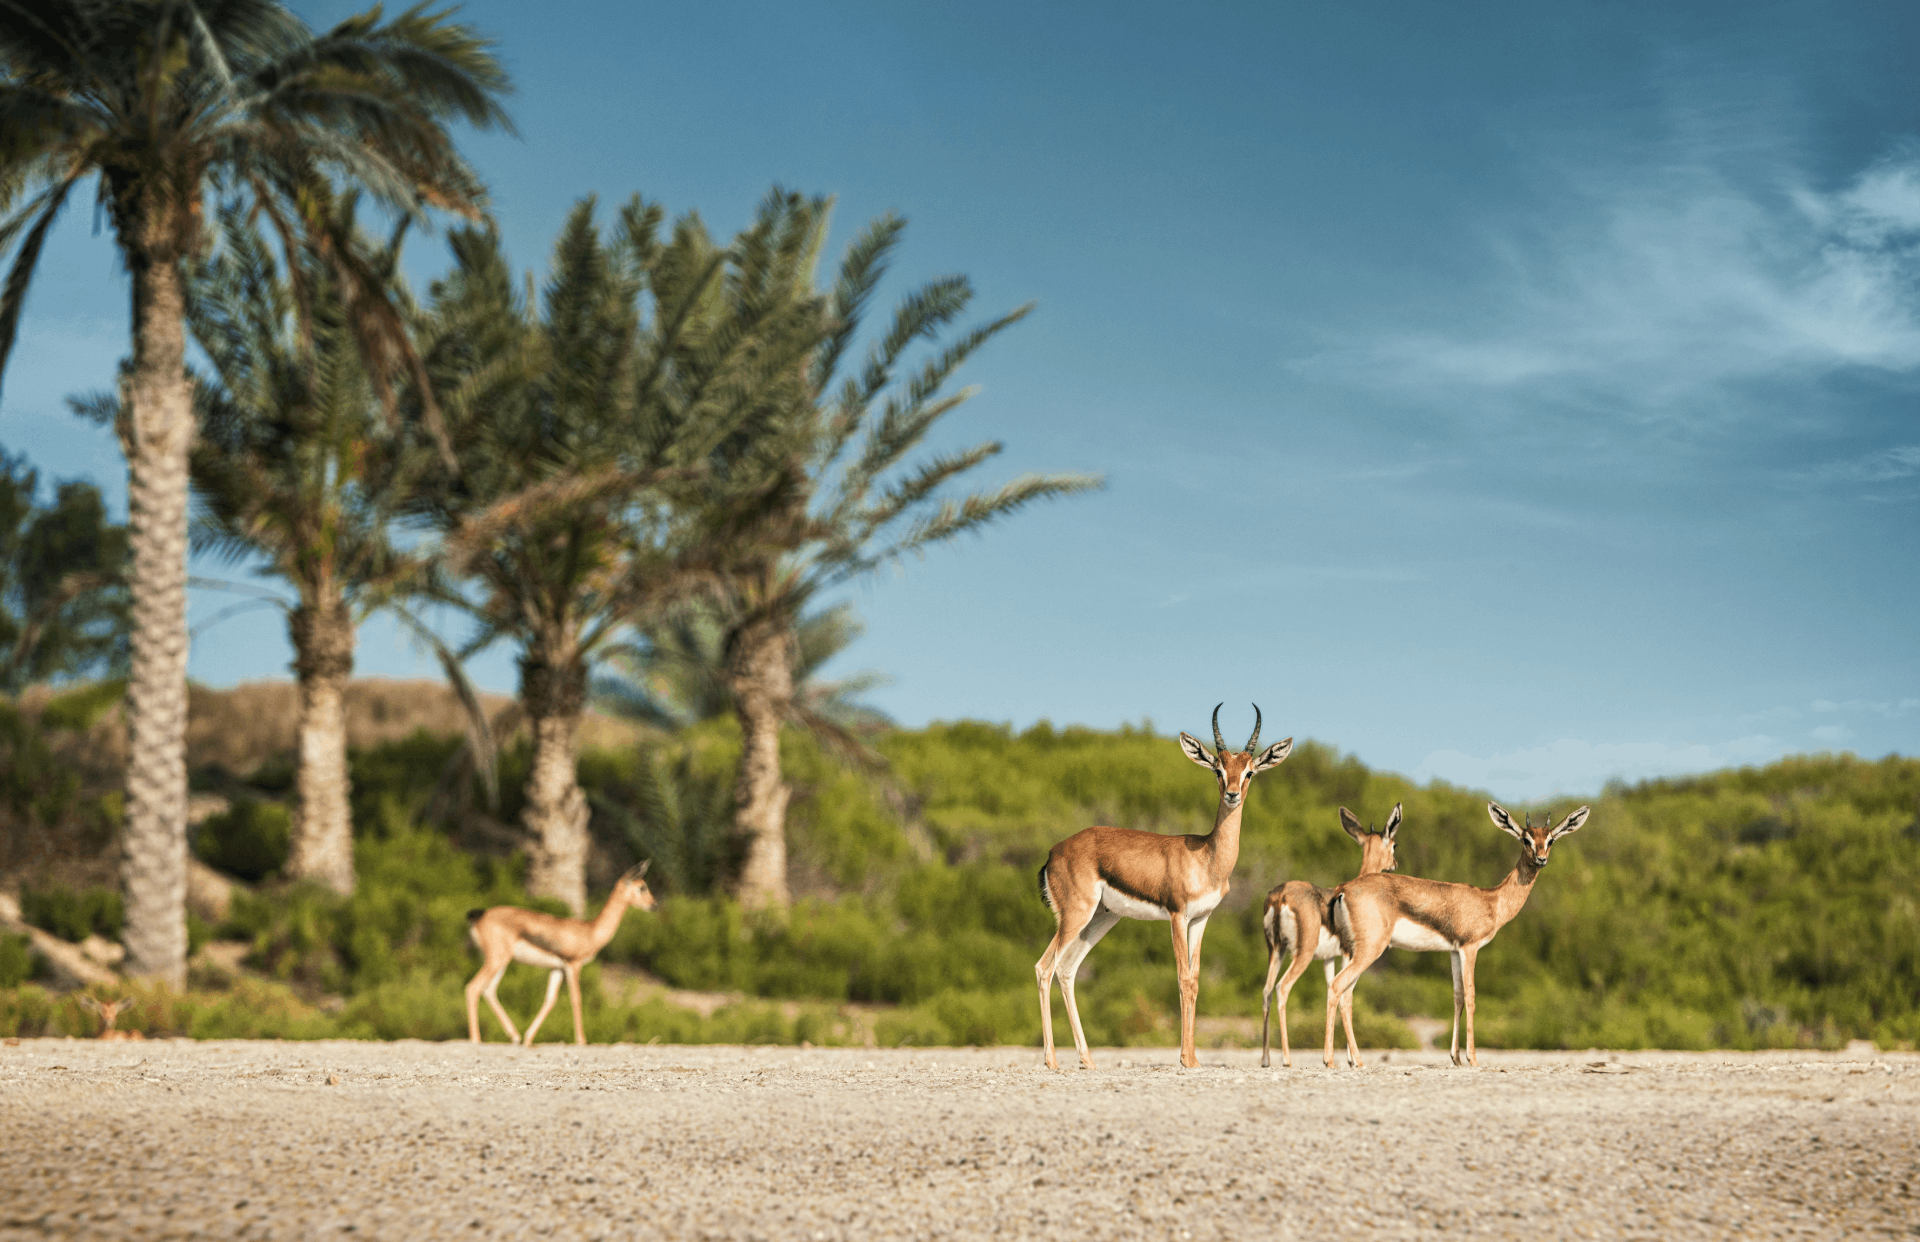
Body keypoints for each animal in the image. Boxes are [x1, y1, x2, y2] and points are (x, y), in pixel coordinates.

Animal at [465, 862, 655, 1046]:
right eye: (642, 887)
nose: (654, 905)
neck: (590, 932)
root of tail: (480, 915)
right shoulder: (574, 965)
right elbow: (576, 998)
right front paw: (581, 1040)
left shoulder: (557, 969)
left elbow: (550, 1000)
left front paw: (528, 1038)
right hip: (497, 960)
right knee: (473, 988)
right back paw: (476, 1039)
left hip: (501, 962)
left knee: (488, 990)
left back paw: (515, 1036)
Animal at [1036, 704, 1293, 1070]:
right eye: (1218, 769)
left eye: (1249, 772)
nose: (1232, 794)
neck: (1206, 856)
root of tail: (1054, 851)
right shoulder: (1176, 916)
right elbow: (1183, 978)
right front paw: (1185, 1059)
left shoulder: (1200, 920)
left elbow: (1195, 980)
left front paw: (1194, 1058)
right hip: (1076, 915)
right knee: (1044, 968)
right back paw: (1052, 1061)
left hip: (1102, 918)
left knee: (1067, 969)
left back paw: (1087, 1060)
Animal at [1259, 803, 1401, 1068]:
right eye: (1394, 844)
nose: (1395, 864)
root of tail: (1280, 895)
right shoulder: (1347, 954)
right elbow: (1347, 996)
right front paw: (1349, 1060)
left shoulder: (1328, 959)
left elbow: (1331, 989)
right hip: (1301, 954)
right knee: (1283, 987)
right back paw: (1287, 1059)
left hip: (1276, 951)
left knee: (1267, 991)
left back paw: (1265, 1060)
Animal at [1323, 801, 1590, 1069]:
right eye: (1526, 839)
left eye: (1550, 839)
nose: (1541, 859)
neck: (1491, 901)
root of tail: (1343, 889)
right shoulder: (1469, 948)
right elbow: (1471, 996)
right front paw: (1473, 1059)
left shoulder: (1453, 951)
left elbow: (1457, 997)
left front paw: (1457, 1058)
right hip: (1369, 950)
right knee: (1337, 986)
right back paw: (1333, 1061)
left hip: (1354, 952)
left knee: (1346, 993)